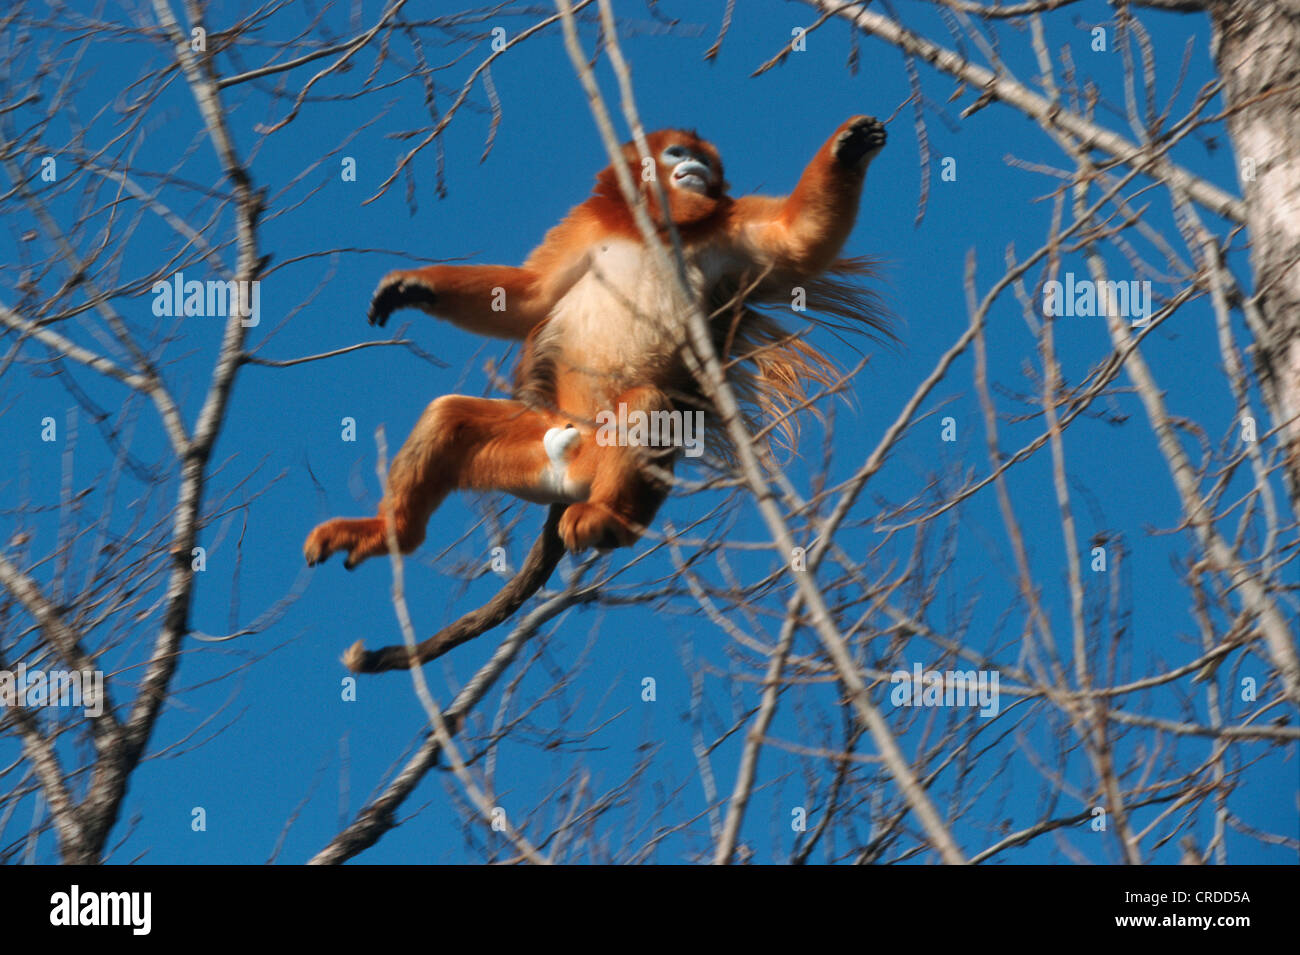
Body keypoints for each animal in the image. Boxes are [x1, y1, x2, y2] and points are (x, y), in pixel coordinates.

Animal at [304, 116, 889, 569]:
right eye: (678, 153)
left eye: (703, 159)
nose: (697, 169)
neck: (654, 224)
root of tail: (570, 467)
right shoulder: (588, 223)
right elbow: (531, 298)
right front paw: (414, 288)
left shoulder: (733, 224)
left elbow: (799, 242)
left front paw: (847, 150)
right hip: (533, 444)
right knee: (449, 416)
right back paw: (390, 531)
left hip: (596, 453)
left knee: (647, 403)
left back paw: (608, 518)